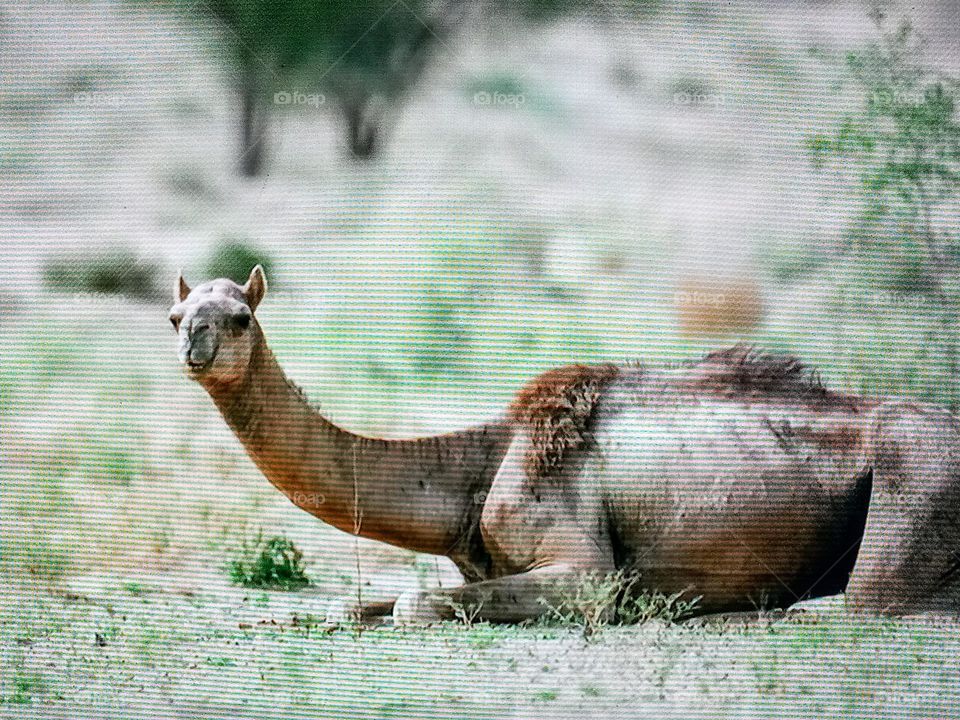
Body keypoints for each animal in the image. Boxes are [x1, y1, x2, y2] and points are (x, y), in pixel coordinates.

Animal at [169, 266, 960, 624]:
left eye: (240, 317)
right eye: (176, 313)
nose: (194, 343)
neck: (480, 465)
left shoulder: (585, 573)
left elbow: (416, 603)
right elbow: (365, 604)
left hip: (914, 473)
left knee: (868, 602)